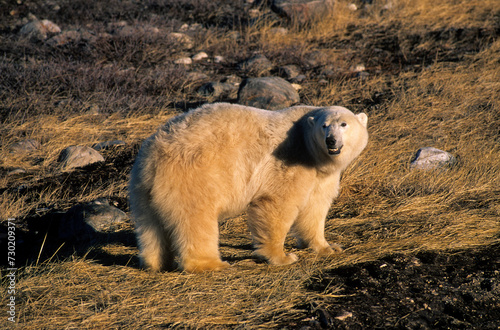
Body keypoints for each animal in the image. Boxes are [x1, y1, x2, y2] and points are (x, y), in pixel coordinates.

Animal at [129, 102, 368, 272]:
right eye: (324, 126)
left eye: (344, 124)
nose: (331, 141)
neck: (310, 148)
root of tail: (153, 159)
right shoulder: (291, 160)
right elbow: (278, 204)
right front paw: (283, 257)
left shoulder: (321, 174)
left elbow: (315, 207)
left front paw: (328, 247)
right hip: (192, 177)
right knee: (196, 220)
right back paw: (213, 264)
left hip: (142, 189)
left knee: (150, 227)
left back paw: (156, 263)